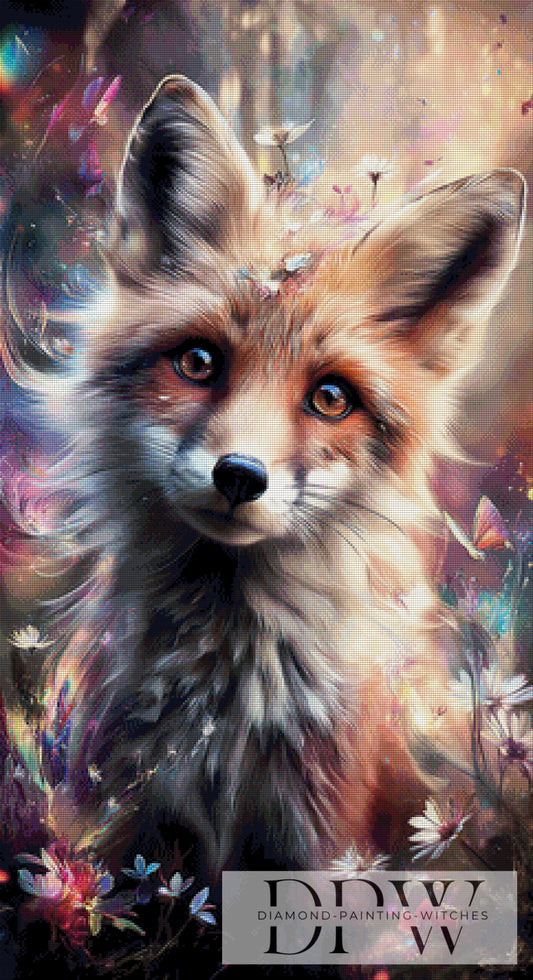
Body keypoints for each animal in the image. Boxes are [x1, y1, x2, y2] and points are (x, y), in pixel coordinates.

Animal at [4, 75, 527, 878]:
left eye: (331, 398)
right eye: (197, 361)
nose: (240, 476)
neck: (223, 713)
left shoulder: (321, 842)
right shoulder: (134, 830)